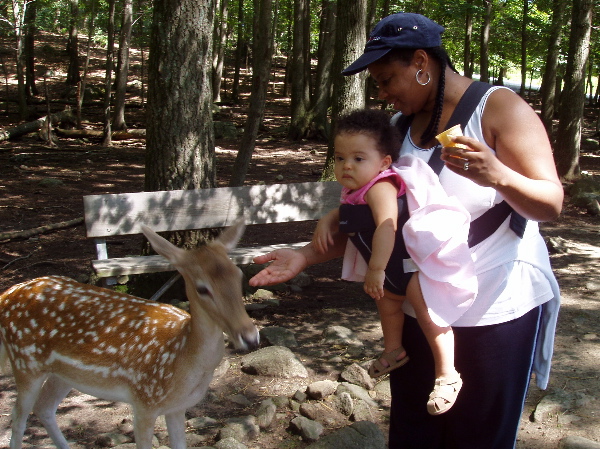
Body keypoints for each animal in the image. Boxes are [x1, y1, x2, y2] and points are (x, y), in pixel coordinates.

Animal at [0, 220, 260, 448]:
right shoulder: (144, 401)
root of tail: (6, 295)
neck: (181, 357)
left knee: (44, 408)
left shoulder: (177, 408)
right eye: (202, 288)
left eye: (239, 275)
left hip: (63, 374)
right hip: (25, 363)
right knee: (17, 417)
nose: (249, 336)